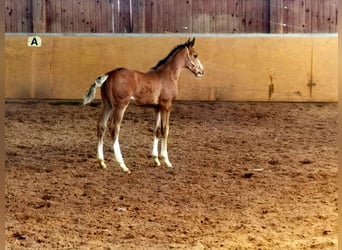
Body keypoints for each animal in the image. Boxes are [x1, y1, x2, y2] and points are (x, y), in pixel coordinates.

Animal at [83, 37, 203, 174]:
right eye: (195, 55)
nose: (201, 72)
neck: (168, 75)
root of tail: (109, 74)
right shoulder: (167, 105)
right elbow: (165, 130)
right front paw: (166, 160)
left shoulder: (157, 107)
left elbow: (156, 130)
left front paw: (156, 160)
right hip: (120, 106)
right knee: (114, 128)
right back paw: (123, 166)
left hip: (108, 105)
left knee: (101, 126)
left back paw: (102, 162)